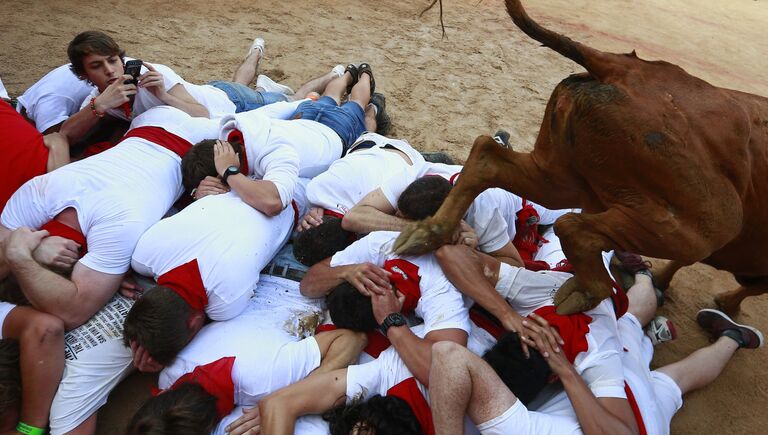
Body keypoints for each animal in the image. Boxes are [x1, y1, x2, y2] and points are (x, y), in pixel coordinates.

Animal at [392, 0, 768, 316]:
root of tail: (619, 68)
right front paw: (725, 302)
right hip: (709, 222)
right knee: (572, 227)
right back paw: (588, 293)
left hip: (564, 176)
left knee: (489, 156)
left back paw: (428, 232)